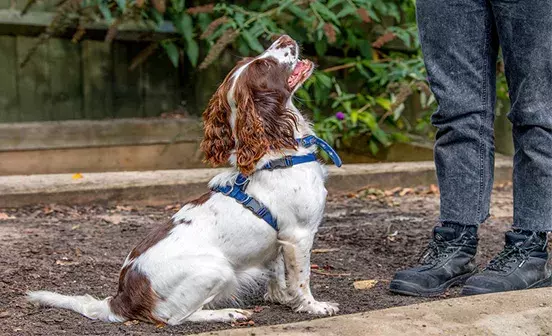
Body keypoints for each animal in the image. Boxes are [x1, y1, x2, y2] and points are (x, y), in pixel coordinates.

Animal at [30, 34, 342, 326]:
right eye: (263, 64)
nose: (284, 38)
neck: (278, 152)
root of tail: (120, 299)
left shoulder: (279, 239)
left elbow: (277, 272)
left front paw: (281, 298)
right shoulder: (299, 235)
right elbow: (301, 278)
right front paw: (313, 306)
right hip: (216, 269)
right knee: (174, 318)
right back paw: (229, 313)